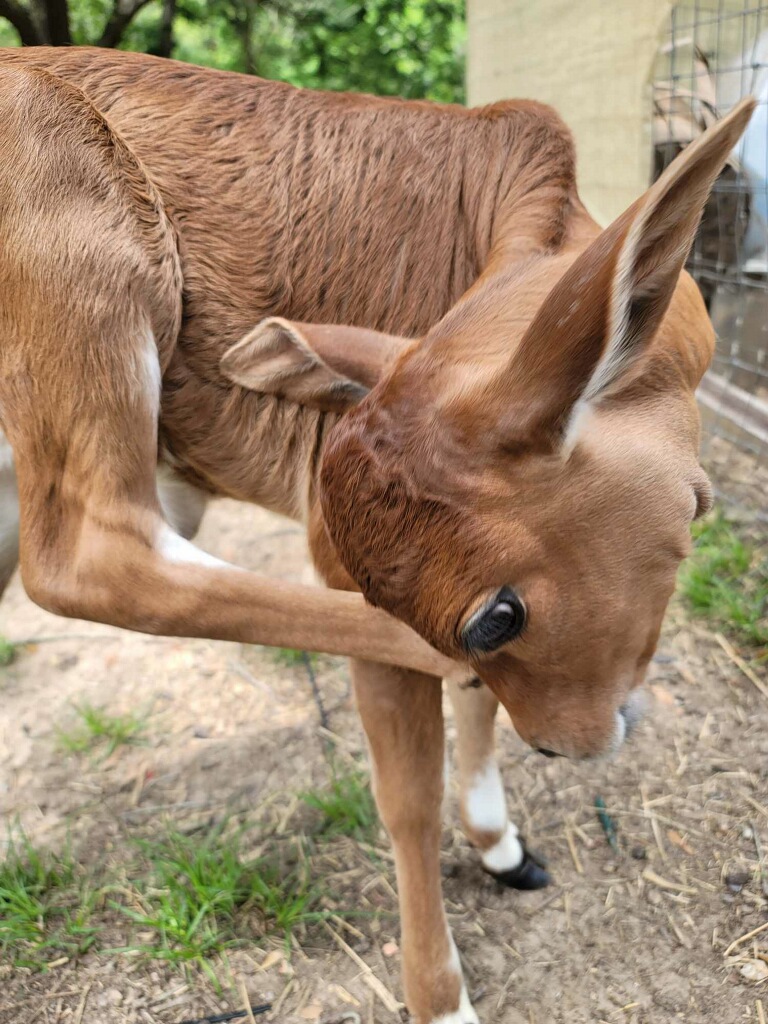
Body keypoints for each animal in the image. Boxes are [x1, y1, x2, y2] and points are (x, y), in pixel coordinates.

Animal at [0, 47, 753, 1024]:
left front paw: (498, 840)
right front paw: (442, 997)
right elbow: (408, 797)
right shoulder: (335, 559)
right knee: (92, 557)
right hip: (81, 277)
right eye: (495, 617)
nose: (565, 746)